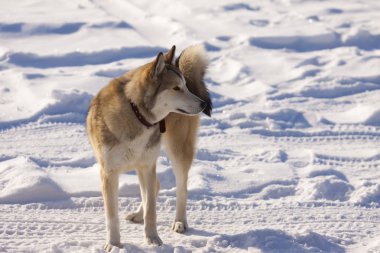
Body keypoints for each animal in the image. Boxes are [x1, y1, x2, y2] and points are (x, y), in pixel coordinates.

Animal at [85, 44, 211, 251]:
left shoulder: (147, 165)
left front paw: (153, 240)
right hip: (142, 165)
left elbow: (151, 211)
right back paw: (137, 215)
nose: (203, 103)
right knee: (155, 186)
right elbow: (112, 216)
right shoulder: (110, 172)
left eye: (185, 86)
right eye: (176, 88)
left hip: (176, 152)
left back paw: (180, 222)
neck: (136, 114)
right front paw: (114, 244)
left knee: (181, 189)